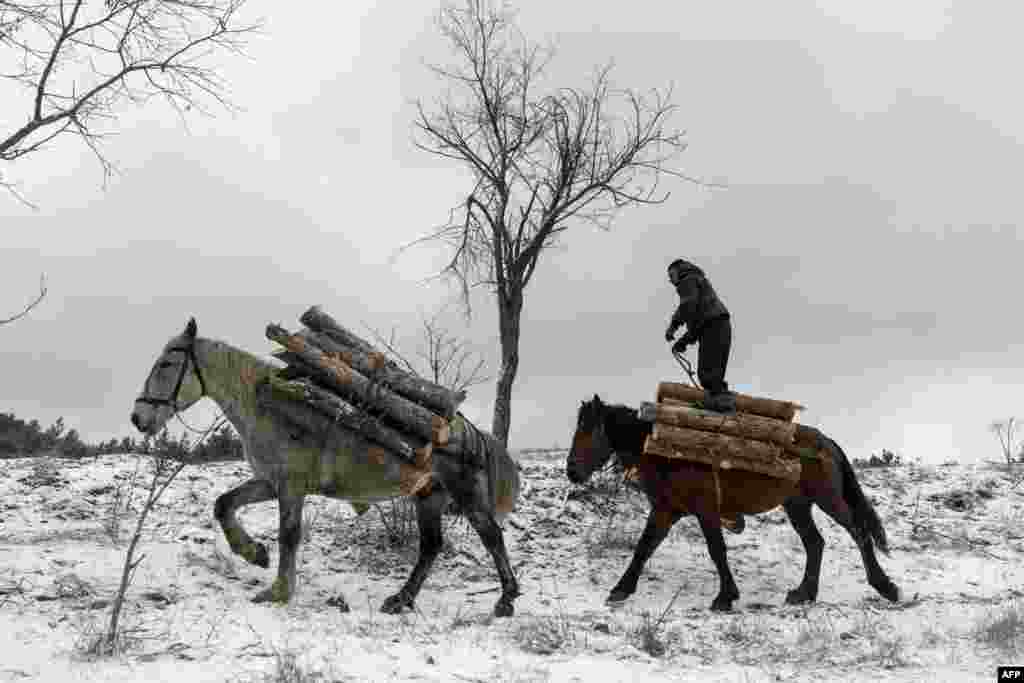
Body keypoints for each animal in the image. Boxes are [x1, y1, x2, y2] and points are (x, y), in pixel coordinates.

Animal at [131, 317, 524, 618]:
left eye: (167, 364)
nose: (138, 418)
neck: (268, 406)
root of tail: (467, 430)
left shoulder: (290, 486)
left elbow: (289, 535)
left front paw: (278, 590)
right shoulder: (270, 482)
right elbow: (224, 504)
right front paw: (253, 553)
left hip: (466, 495)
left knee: (491, 537)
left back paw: (505, 600)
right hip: (428, 496)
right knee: (430, 547)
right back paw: (401, 599)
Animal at [565, 393, 901, 610]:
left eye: (588, 431)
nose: (572, 471)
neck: (665, 454)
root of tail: (827, 443)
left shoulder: (705, 511)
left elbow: (717, 551)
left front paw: (725, 597)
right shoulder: (665, 511)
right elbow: (644, 548)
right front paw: (620, 590)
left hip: (828, 499)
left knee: (858, 532)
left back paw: (885, 587)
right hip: (797, 505)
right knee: (815, 543)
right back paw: (803, 593)